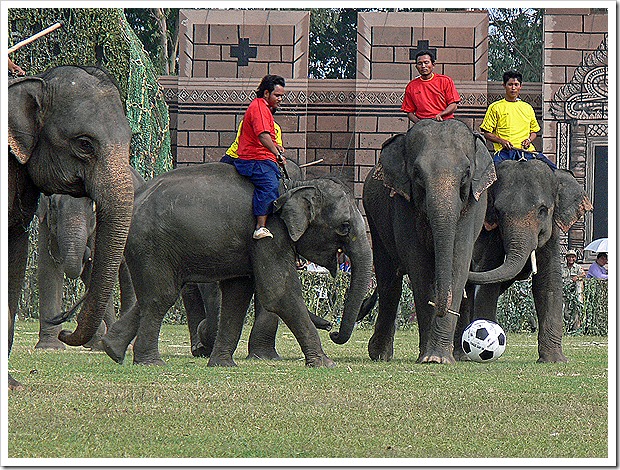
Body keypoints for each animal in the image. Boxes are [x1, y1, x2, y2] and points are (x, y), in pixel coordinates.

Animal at [101, 163, 372, 370]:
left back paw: (112, 349)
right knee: (161, 296)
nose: (332, 330)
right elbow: (279, 293)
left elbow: (238, 294)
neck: (295, 185)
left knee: (155, 295)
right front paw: (326, 364)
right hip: (152, 244)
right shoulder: (269, 233)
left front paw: (222, 365)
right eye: (345, 226)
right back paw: (151, 363)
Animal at [360, 118, 496, 364]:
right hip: (374, 221)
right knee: (388, 281)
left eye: (466, 173)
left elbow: (458, 263)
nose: (441, 308)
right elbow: (419, 267)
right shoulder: (402, 204)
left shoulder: (473, 204)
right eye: (417, 173)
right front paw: (430, 358)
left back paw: (460, 355)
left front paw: (440, 358)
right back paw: (380, 355)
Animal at [458, 160, 592, 362]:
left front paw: (554, 361)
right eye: (497, 211)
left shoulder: (552, 232)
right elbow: (487, 277)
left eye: (543, 210)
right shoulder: (487, 234)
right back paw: (460, 355)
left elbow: (549, 279)